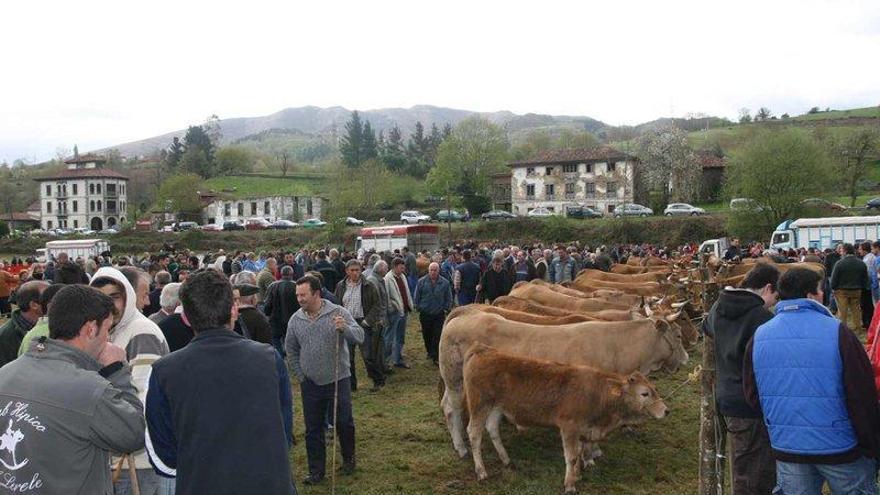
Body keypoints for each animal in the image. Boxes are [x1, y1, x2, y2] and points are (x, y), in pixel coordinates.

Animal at [440, 312, 688, 460]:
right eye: (678, 335)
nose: (686, 359)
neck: (616, 348)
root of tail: (462, 316)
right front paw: (590, 455)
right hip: (454, 379)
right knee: (453, 408)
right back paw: (461, 447)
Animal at [460, 342, 668, 494]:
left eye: (655, 389)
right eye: (644, 394)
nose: (666, 410)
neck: (597, 393)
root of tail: (482, 350)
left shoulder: (584, 429)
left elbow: (580, 451)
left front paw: (578, 475)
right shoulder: (569, 427)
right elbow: (572, 456)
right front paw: (570, 484)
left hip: (496, 408)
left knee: (492, 429)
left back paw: (506, 460)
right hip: (479, 405)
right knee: (474, 434)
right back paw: (481, 471)